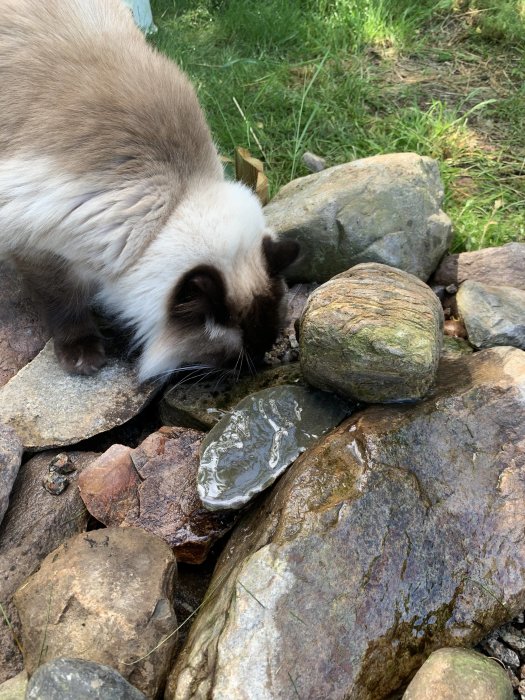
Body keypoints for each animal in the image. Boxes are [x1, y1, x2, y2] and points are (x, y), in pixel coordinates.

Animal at [0, 1, 296, 382]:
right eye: (234, 357)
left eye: (265, 344)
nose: (256, 366)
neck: (172, 203)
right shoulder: (38, 238)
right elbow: (63, 302)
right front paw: (83, 355)